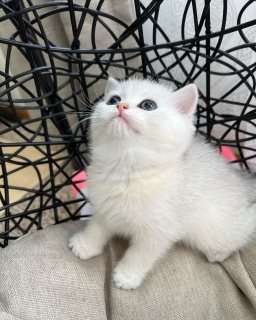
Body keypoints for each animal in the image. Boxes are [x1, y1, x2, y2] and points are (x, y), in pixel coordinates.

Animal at [69, 77, 256, 290]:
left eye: (148, 105)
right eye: (113, 99)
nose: (120, 106)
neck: (127, 172)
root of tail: (241, 182)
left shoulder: (159, 231)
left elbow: (141, 254)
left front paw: (127, 275)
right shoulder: (105, 208)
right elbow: (97, 227)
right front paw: (86, 245)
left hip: (217, 229)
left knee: (244, 228)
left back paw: (218, 253)